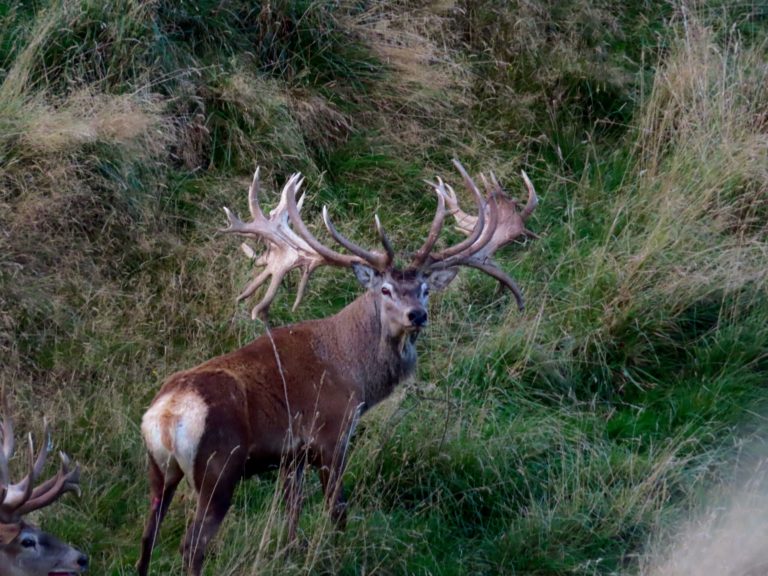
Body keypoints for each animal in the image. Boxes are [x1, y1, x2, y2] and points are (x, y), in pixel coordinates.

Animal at [136, 160, 539, 576]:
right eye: (385, 289)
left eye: (425, 288)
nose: (417, 315)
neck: (354, 372)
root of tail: (166, 415)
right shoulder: (332, 432)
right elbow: (337, 509)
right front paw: (336, 553)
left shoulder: (291, 454)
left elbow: (292, 510)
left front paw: (291, 552)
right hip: (219, 466)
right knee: (192, 545)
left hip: (159, 469)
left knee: (147, 536)